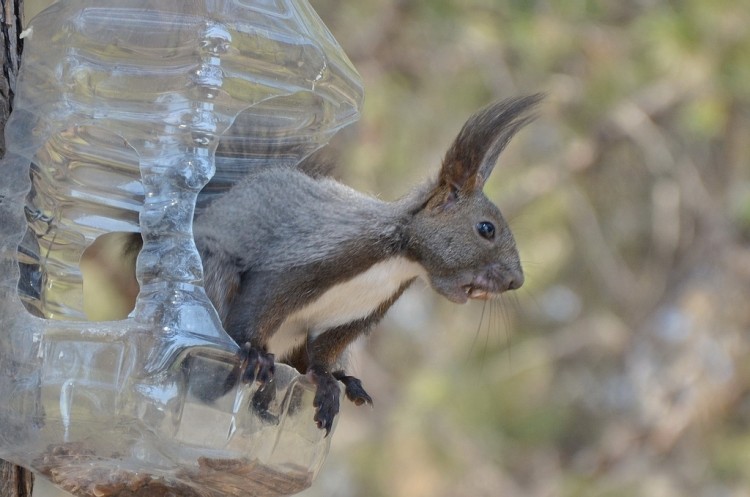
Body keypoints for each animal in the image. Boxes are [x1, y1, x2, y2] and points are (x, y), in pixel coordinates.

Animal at [128, 94, 540, 434]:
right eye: (486, 229)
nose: (516, 281)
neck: (399, 260)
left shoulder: (358, 314)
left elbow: (324, 351)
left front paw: (327, 379)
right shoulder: (306, 259)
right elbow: (260, 305)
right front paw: (253, 352)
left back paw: (335, 384)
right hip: (215, 274)